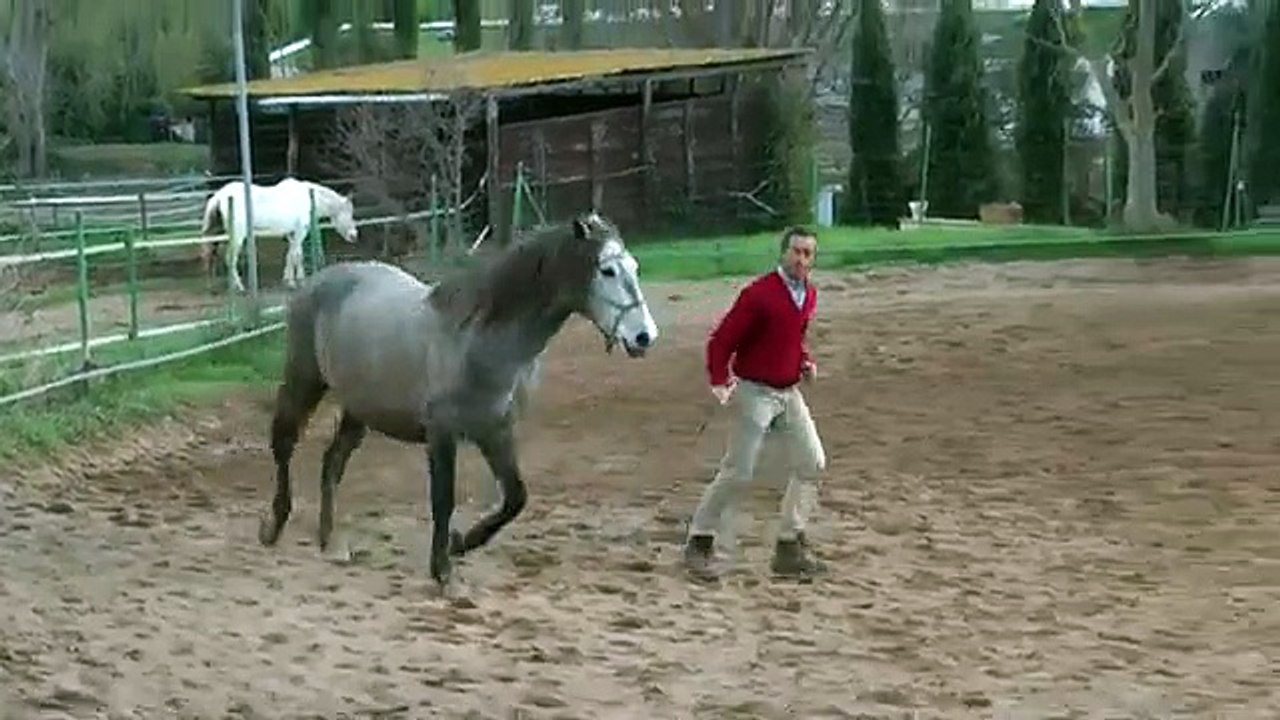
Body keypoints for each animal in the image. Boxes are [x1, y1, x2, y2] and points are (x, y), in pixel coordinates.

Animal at [198, 177, 359, 293]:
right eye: (348, 212)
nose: (354, 236)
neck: (308, 197)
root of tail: (219, 196)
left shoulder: (291, 233)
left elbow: (292, 255)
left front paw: (290, 279)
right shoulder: (300, 231)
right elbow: (296, 255)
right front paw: (295, 282)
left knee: (209, 255)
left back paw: (212, 286)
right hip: (237, 235)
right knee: (230, 258)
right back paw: (239, 287)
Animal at [256, 210, 660, 589]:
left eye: (634, 267)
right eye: (607, 270)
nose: (644, 337)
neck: (478, 340)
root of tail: (317, 280)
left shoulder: (496, 431)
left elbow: (516, 498)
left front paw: (460, 543)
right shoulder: (442, 433)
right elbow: (443, 499)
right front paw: (443, 571)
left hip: (361, 409)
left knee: (332, 462)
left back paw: (331, 543)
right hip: (305, 381)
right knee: (284, 444)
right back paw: (273, 527)